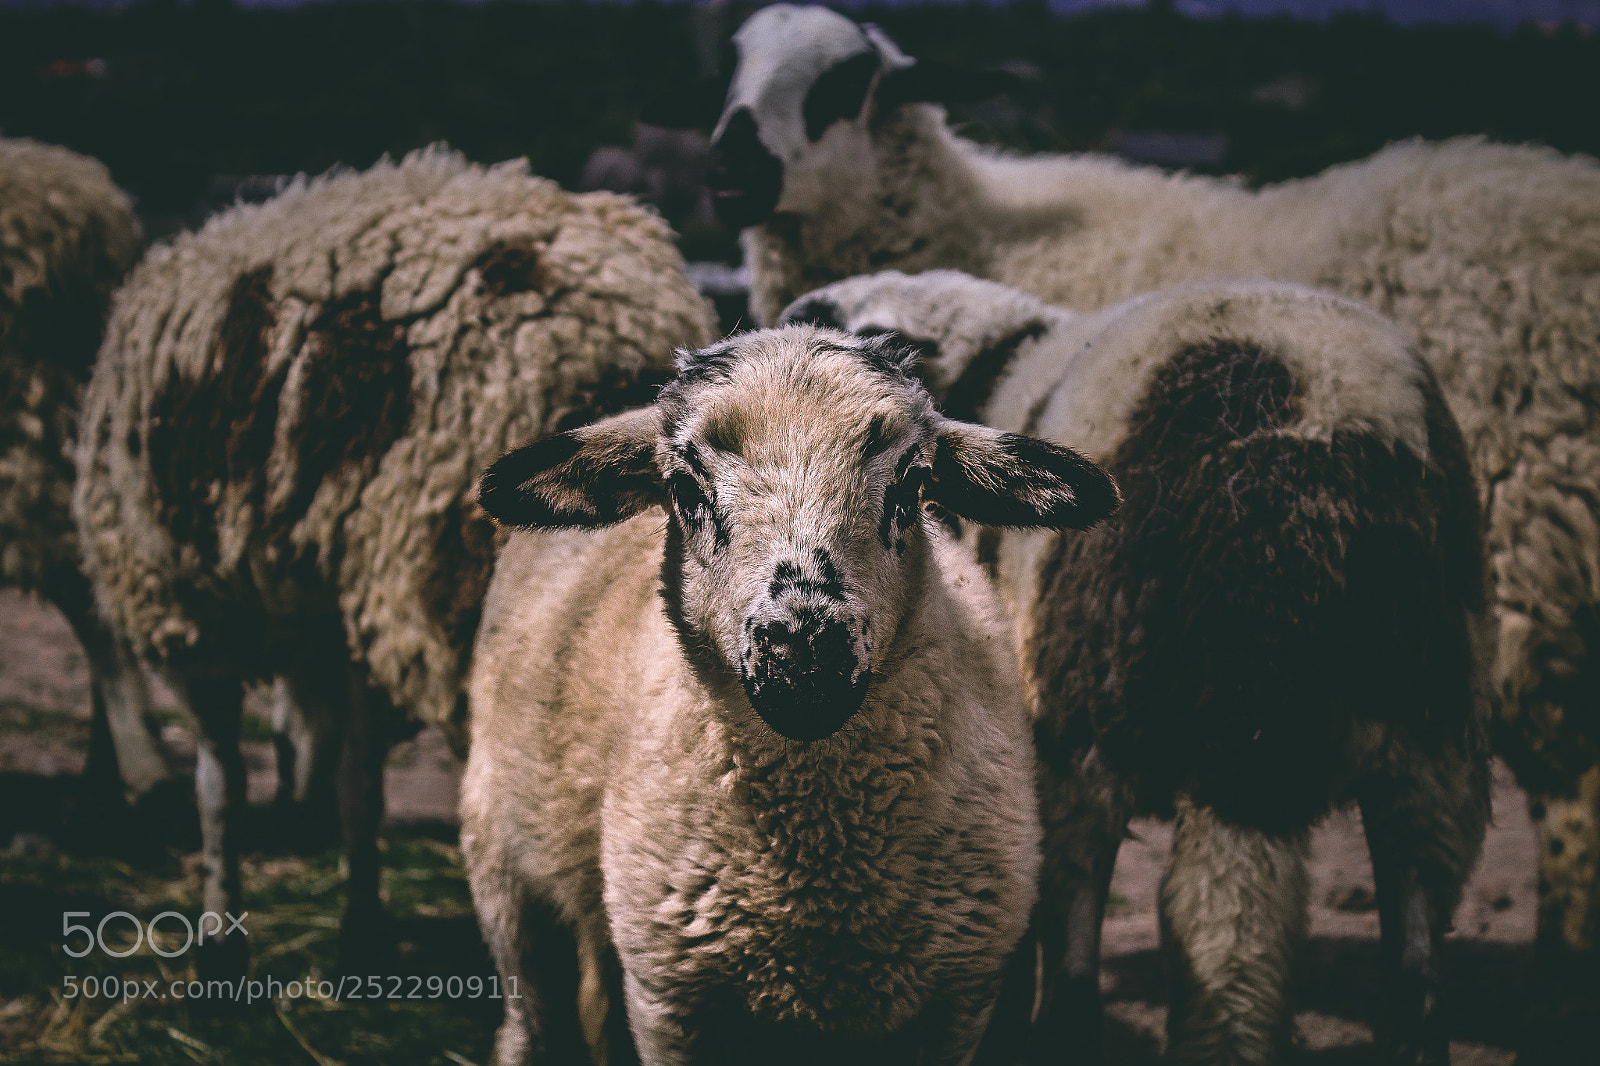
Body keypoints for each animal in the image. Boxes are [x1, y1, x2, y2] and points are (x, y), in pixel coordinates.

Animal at [460, 323, 1118, 1066]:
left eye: (912, 482)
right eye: (684, 487)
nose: (803, 651)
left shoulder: (957, 1002)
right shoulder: (672, 1002)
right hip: (501, 860)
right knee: (532, 1019)